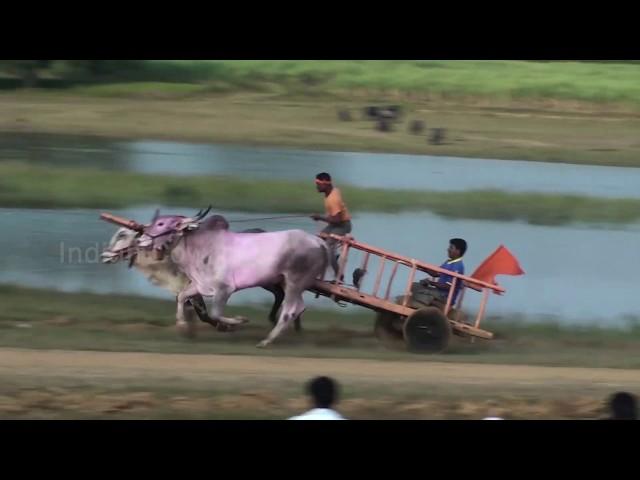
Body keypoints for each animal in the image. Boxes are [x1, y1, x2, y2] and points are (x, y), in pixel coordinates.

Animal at [139, 208, 330, 346]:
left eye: (161, 223)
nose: (141, 239)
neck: (200, 247)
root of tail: (318, 241)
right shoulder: (199, 285)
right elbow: (181, 297)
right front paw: (181, 325)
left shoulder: (224, 289)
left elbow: (215, 314)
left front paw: (238, 321)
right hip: (290, 283)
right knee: (298, 307)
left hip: (293, 282)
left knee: (289, 310)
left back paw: (266, 341)